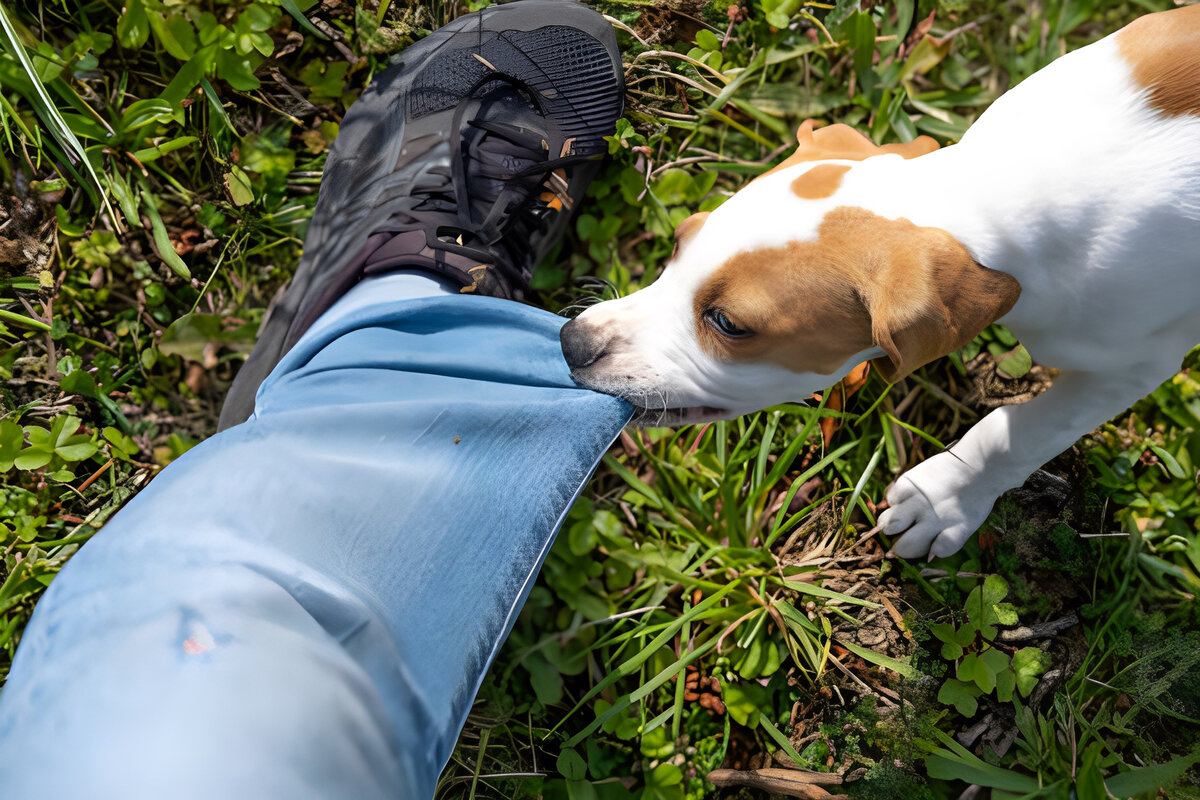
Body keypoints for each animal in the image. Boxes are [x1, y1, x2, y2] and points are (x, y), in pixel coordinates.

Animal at [559, 6, 1200, 561]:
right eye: (678, 242)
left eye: (728, 324)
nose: (572, 343)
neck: (1000, 182)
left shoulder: (1133, 361)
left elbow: (1030, 430)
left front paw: (944, 500)